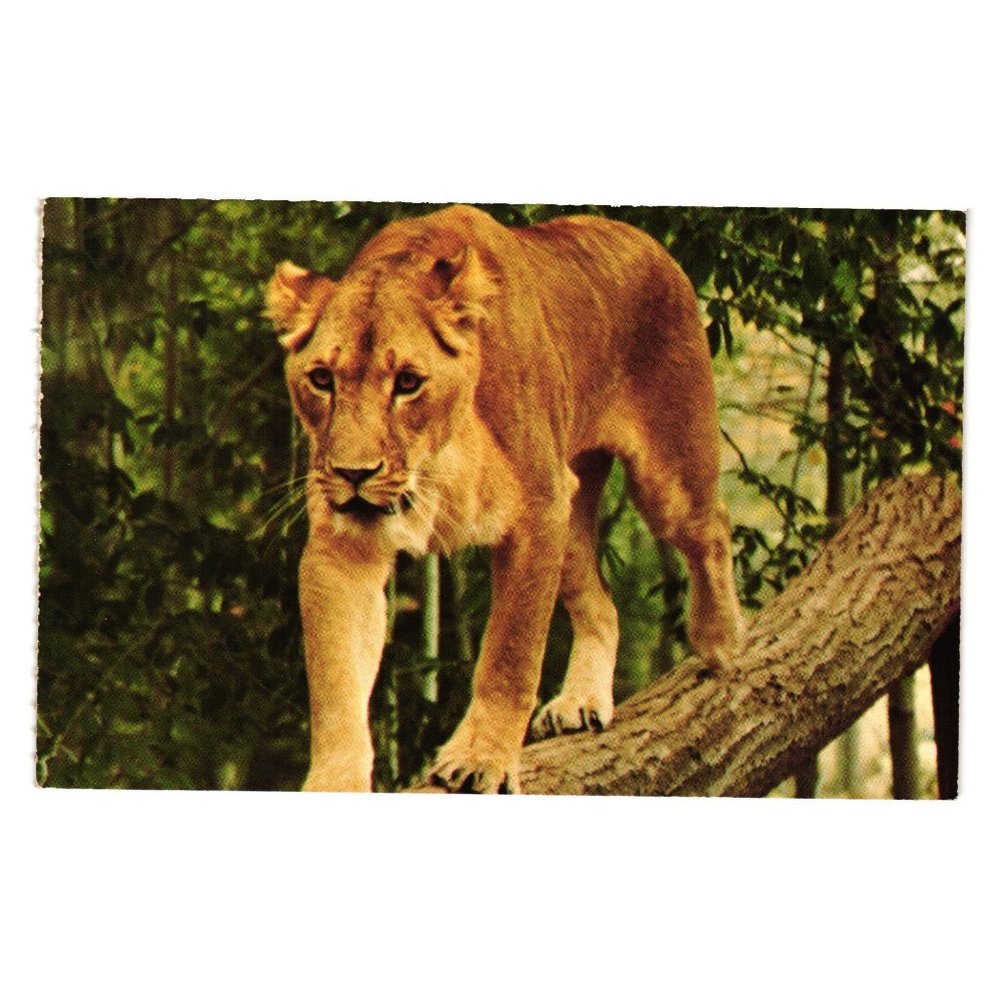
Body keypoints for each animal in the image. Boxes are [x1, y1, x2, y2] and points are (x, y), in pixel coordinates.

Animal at [265, 204, 743, 793]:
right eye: (322, 379)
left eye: (408, 382)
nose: (354, 474)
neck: (437, 458)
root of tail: (643, 239)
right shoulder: (342, 548)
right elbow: (335, 686)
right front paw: (334, 782)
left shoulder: (537, 513)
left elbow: (510, 655)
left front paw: (482, 758)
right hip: (571, 514)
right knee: (603, 603)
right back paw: (582, 700)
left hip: (666, 476)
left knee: (712, 528)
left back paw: (721, 640)